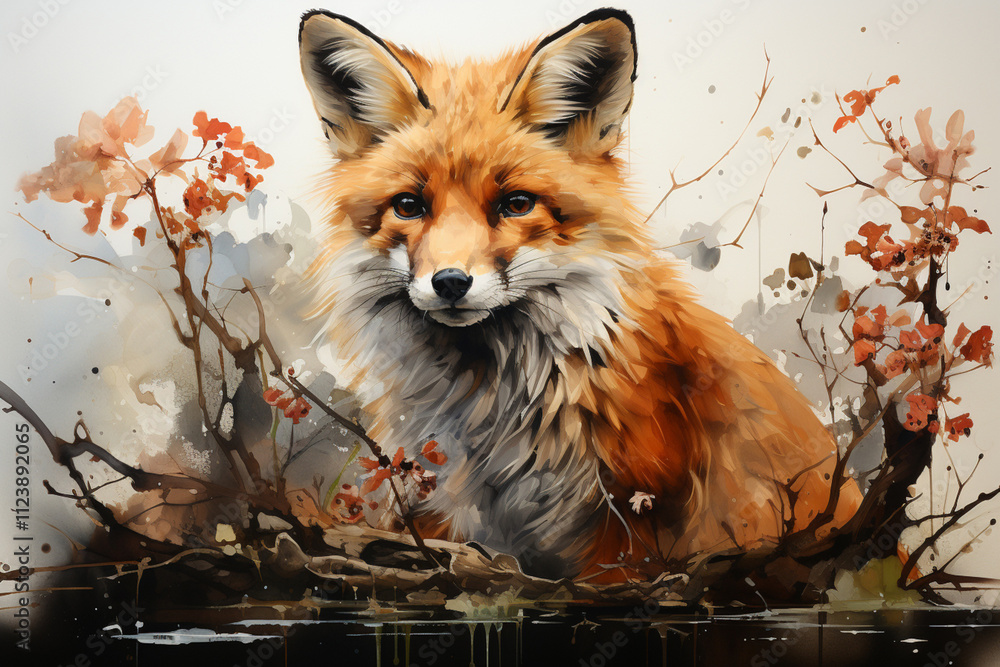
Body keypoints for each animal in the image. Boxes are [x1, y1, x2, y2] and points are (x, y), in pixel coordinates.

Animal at [298, 8, 862, 581]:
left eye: (516, 203)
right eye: (409, 205)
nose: (451, 282)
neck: (491, 405)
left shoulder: (628, 523)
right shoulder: (440, 501)